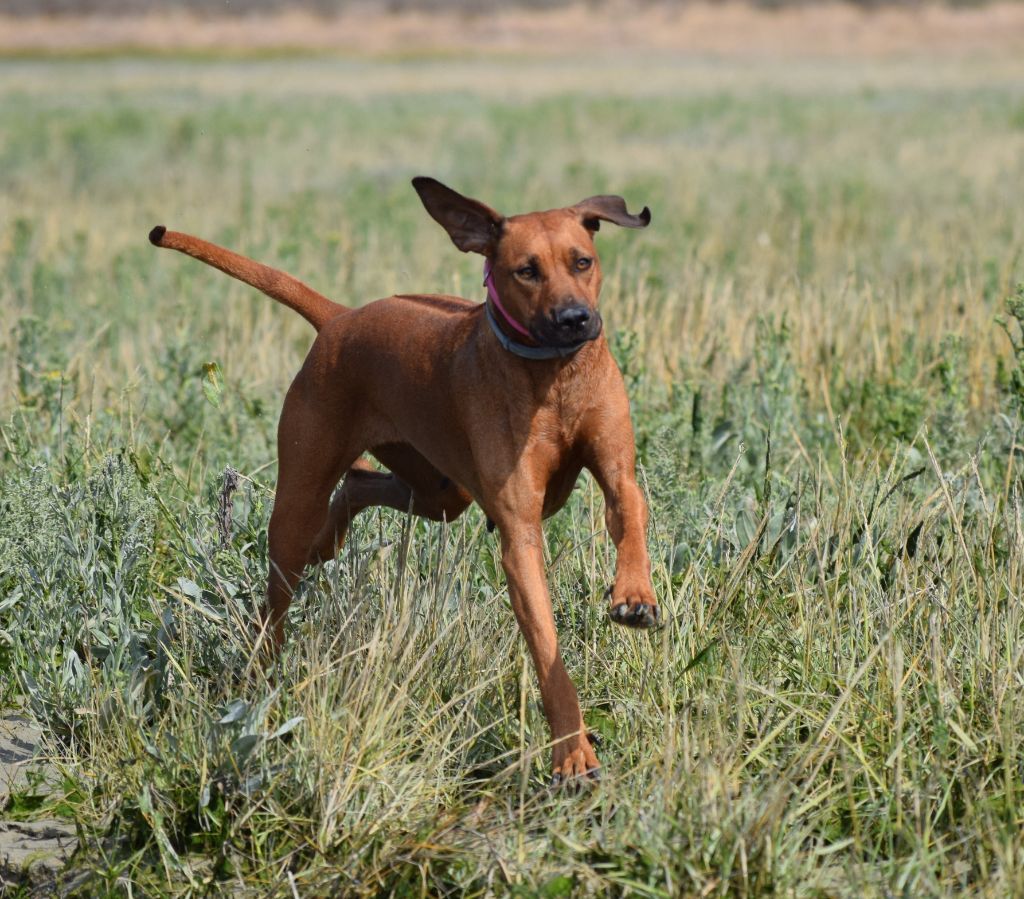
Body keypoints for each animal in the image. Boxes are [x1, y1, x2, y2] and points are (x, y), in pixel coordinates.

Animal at [149, 179, 659, 786]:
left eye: (583, 261)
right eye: (525, 271)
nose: (576, 320)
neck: (553, 376)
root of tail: (341, 318)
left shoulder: (617, 474)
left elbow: (631, 514)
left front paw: (635, 596)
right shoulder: (519, 534)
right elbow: (546, 647)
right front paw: (572, 752)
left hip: (442, 491)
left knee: (359, 484)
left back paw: (330, 540)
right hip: (299, 502)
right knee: (277, 597)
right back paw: (262, 674)